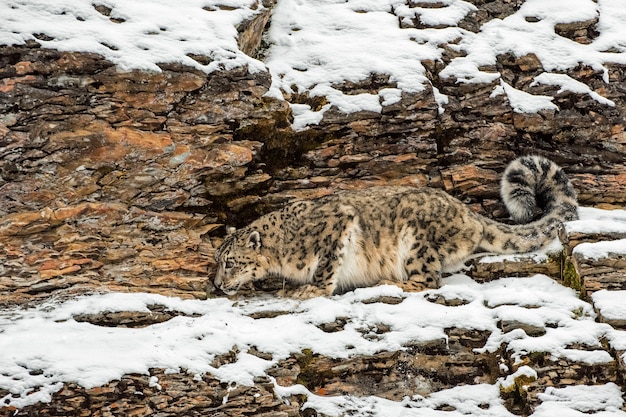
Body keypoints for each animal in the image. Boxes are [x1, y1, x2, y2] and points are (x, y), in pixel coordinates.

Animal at [213, 155, 576, 296]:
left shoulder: (336, 226)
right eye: (217, 261)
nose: (216, 284)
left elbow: (327, 266)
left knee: (429, 280)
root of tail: (469, 213)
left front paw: (310, 291)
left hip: (416, 241)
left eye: (230, 262)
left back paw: (390, 283)